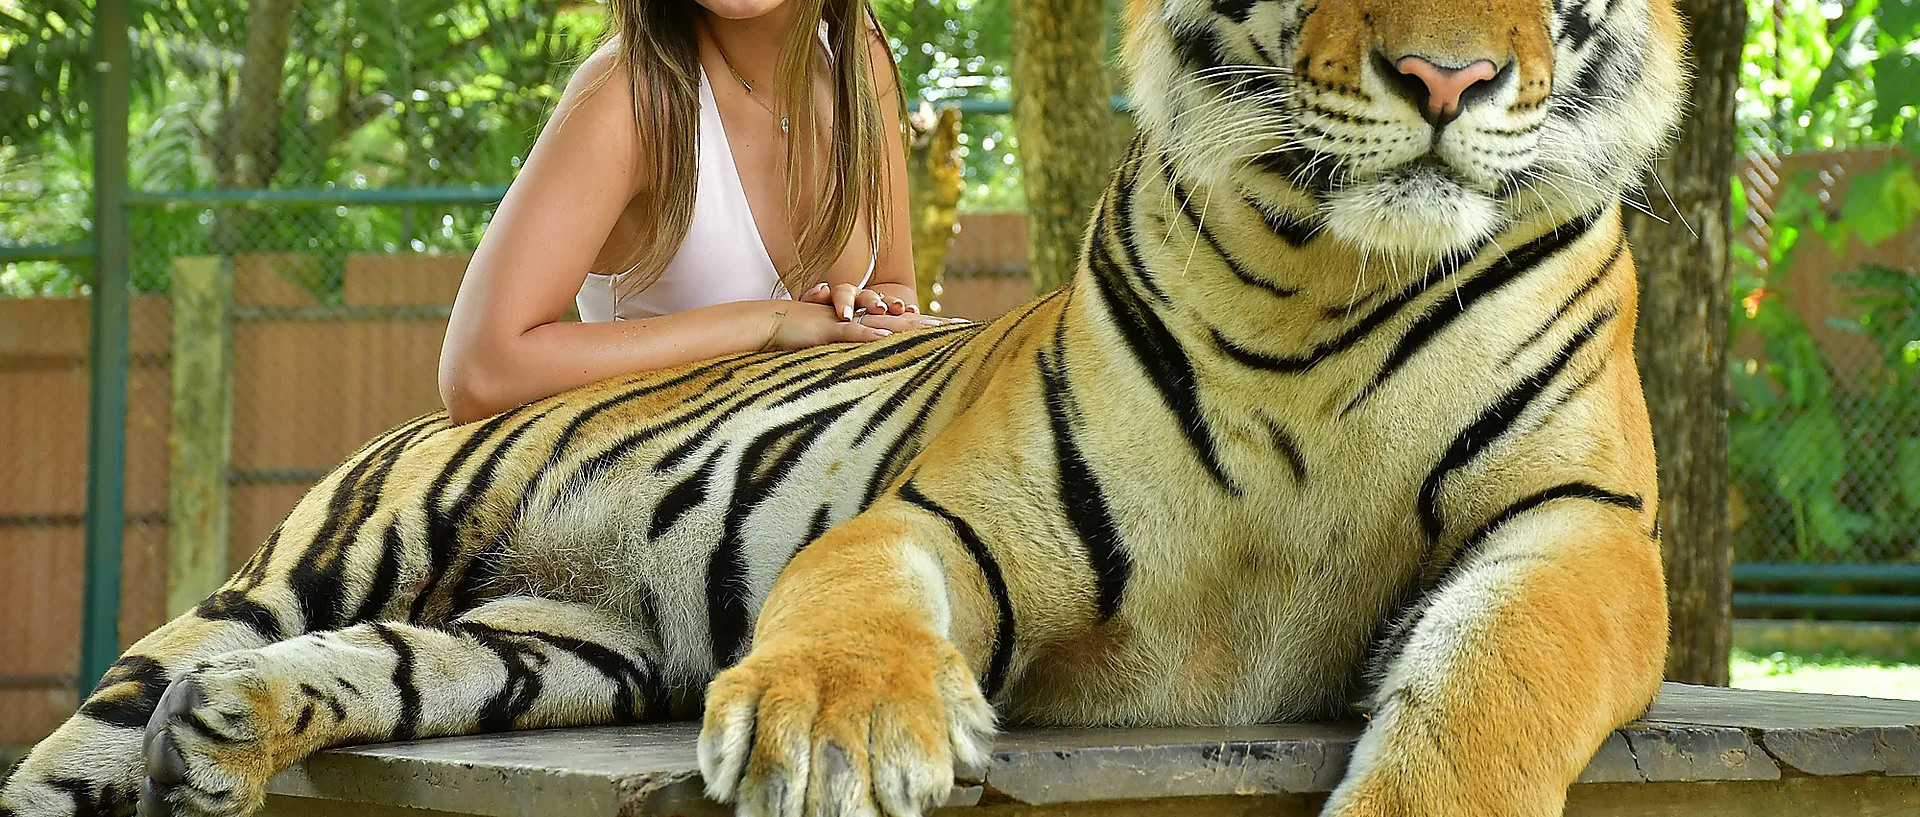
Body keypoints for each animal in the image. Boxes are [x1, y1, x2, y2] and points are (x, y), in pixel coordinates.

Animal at [2, 0, 1687, 815]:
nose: (1448, 81)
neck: (1328, 280)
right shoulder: (967, 515)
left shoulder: (1578, 529)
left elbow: (1489, 687)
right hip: (333, 556)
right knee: (91, 729)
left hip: (556, 643)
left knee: (375, 668)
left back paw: (227, 732)